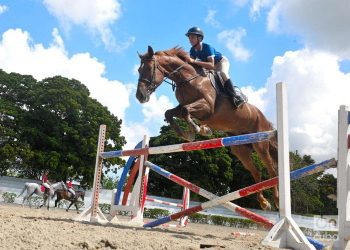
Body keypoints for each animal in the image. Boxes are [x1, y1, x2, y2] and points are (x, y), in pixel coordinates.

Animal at [137, 46, 278, 210]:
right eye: (139, 70)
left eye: (149, 69)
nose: (140, 96)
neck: (187, 78)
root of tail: (263, 117)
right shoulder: (184, 106)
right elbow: (171, 112)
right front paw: (189, 134)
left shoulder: (207, 107)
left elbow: (185, 111)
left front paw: (198, 129)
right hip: (240, 149)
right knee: (256, 172)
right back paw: (264, 202)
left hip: (260, 144)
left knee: (271, 169)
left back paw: (276, 199)